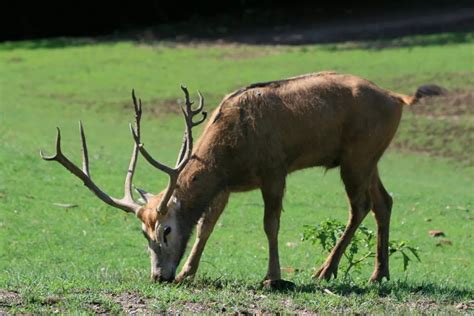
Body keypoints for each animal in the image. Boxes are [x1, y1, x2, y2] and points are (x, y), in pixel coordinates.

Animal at [41, 72, 426, 288]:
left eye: (166, 230)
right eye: (143, 233)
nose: (158, 276)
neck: (228, 156)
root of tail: (398, 98)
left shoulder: (274, 169)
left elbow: (270, 224)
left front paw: (273, 277)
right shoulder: (224, 186)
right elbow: (205, 226)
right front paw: (188, 272)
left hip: (357, 155)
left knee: (360, 205)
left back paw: (325, 271)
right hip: (368, 157)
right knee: (384, 201)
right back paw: (379, 274)